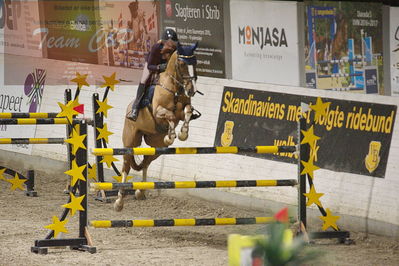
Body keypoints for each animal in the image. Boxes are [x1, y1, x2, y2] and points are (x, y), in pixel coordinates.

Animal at [114, 42, 198, 212]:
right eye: (182, 64)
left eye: (195, 63)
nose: (191, 90)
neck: (175, 88)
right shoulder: (158, 111)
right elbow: (170, 116)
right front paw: (170, 136)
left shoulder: (183, 111)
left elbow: (187, 111)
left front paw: (183, 134)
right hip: (130, 142)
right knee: (126, 167)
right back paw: (119, 201)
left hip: (157, 147)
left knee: (146, 162)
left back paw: (140, 192)